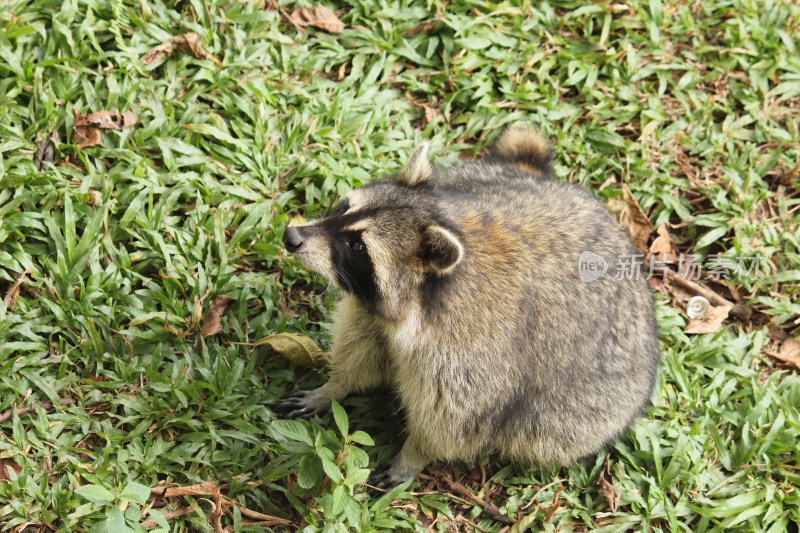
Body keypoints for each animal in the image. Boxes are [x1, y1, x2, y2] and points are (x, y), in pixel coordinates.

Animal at [272, 124, 660, 490]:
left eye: (357, 246)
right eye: (343, 208)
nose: (292, 236)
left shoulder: (472, 358)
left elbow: (452, 422)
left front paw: (413, 455)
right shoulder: (371, 313)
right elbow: (360, 350)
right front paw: (333, 388)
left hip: (589, 408)